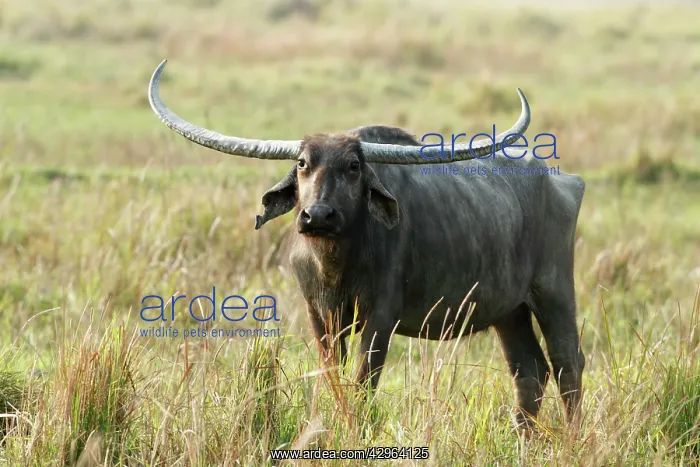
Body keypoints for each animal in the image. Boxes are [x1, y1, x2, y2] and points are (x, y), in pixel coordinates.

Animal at [148, 60, 586, 429]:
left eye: (354, 166)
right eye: (303, 164)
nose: (318, 216)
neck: (336, 265)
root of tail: (562, 180)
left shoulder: (381, 316)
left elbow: (362, 381)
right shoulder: (320, 316)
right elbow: (334, 378)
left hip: (554, 292)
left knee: (567, 363)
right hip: (509, 310)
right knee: (529, 371)